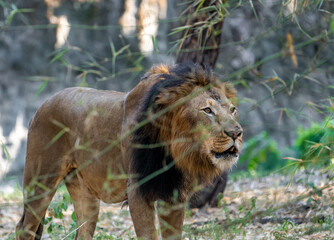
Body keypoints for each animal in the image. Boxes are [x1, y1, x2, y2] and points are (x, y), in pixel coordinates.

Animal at [15, 62, 243, 239]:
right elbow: (149, 236)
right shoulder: (138, 193)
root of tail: (42, 105)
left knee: (83, 231)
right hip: (40, 181)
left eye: (233, 110)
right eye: (207, 110)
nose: (237, 133)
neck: (172, 148)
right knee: (24, 228)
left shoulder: (173, 196)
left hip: (85, 194)